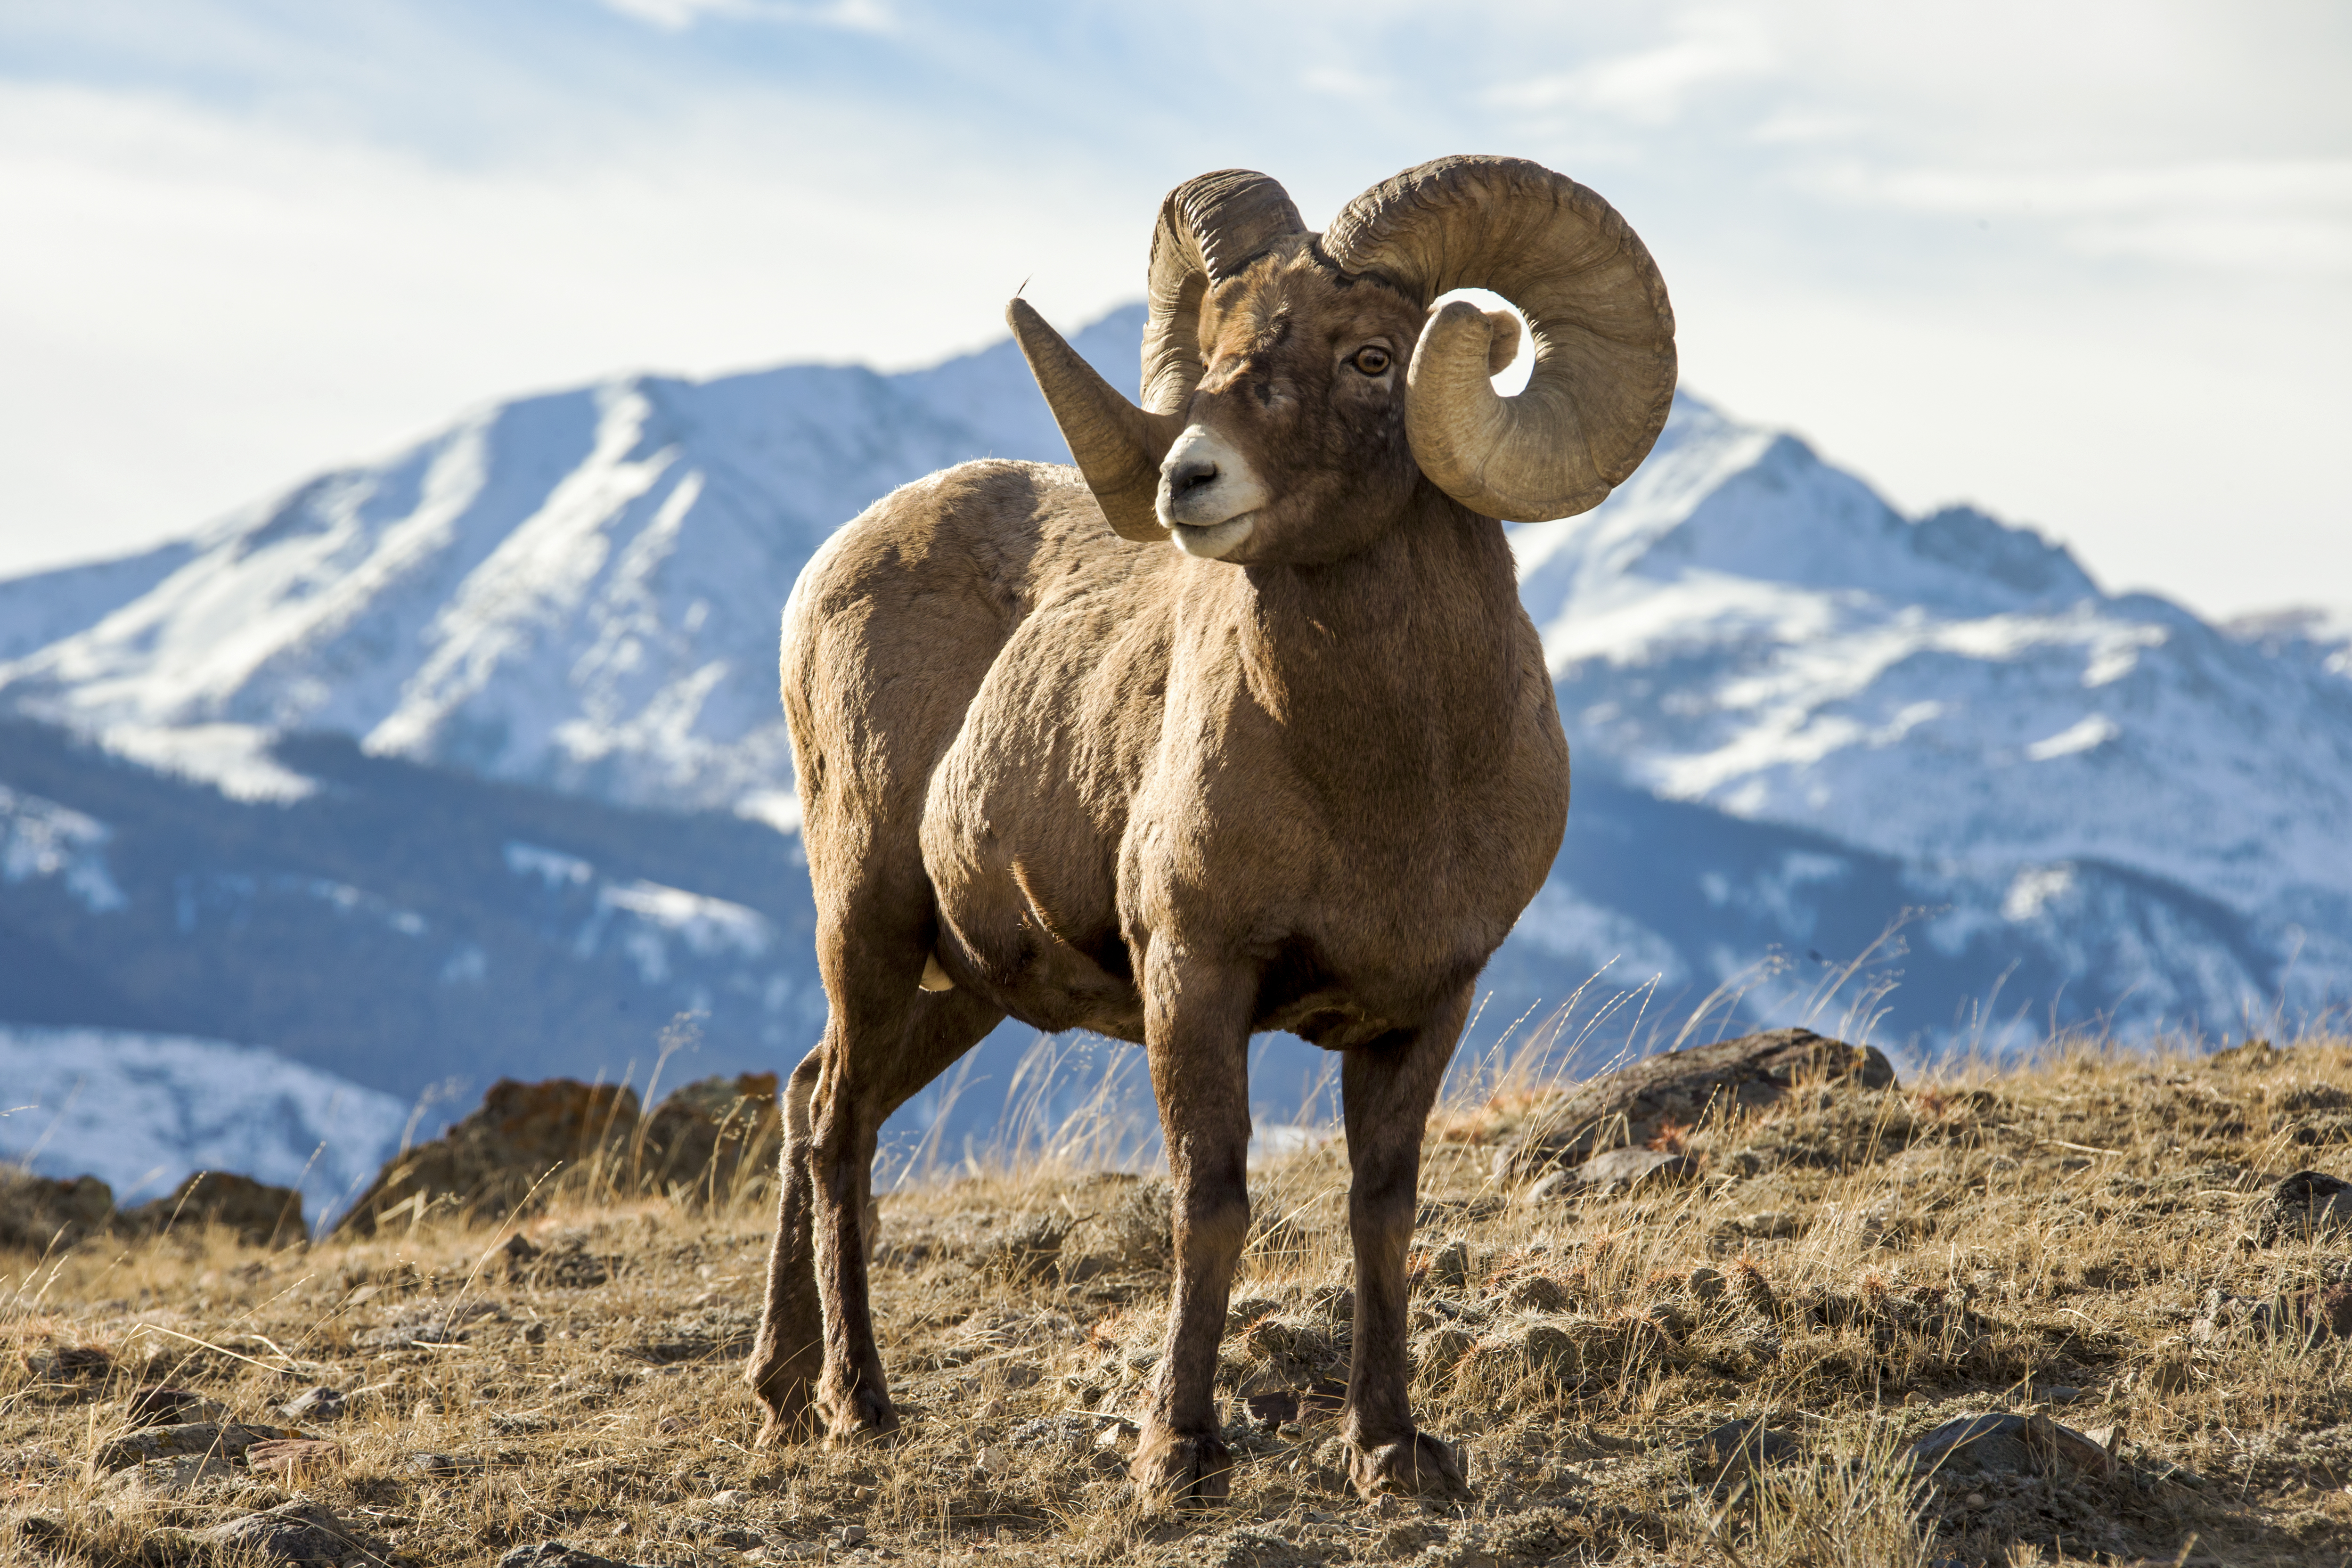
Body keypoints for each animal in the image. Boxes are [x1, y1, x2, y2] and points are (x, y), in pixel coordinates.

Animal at [745, 156, 1675, 1506]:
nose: (1190, 479)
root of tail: (832, 564)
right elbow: (1212, 1200)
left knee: (809, 1092)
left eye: (1371, 357)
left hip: (962, 987)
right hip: (867, 921)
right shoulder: (1195, 974)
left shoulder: (1425, 1009)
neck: (1383, 782)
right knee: (836, 1125)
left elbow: (1381, 1212)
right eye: (1224, 348)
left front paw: (1391, 1450)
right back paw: (855, 1405)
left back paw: (777, 1393)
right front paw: (1177, 1453)